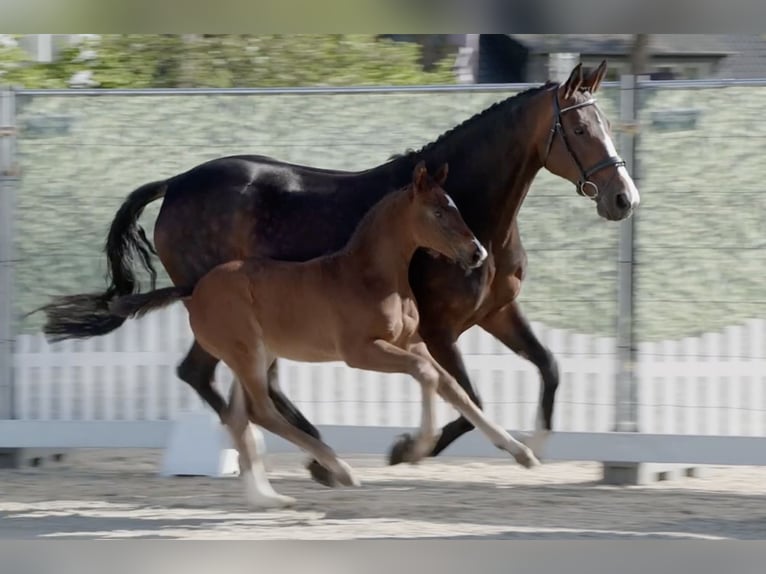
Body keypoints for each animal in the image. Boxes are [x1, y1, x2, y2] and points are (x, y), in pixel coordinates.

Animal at [109, 162, 541, 509]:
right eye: (437, 211)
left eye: (457, 208)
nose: (476, 254)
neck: (372, 276)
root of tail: (193, 289)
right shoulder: (361, 352)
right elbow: (427, 375)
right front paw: (413, 448)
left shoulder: (412, 342)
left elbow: (453, 387)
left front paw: (522, 453)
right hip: (246, 354)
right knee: (260, 411)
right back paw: (339, 471)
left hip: (254, 356)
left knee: (239, 416)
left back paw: (268, 497)